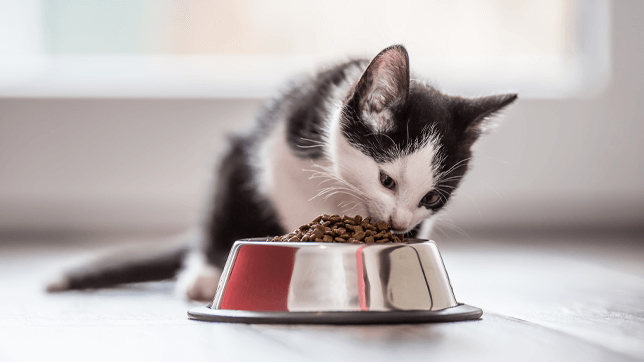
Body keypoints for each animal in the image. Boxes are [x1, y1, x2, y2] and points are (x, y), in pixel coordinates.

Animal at [46, 44, 520, 300]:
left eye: (432, 198)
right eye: (386, 180)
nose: (399, 222)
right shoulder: (281, 150)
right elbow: (295, 199)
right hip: (235, 163)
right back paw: (204, 274)